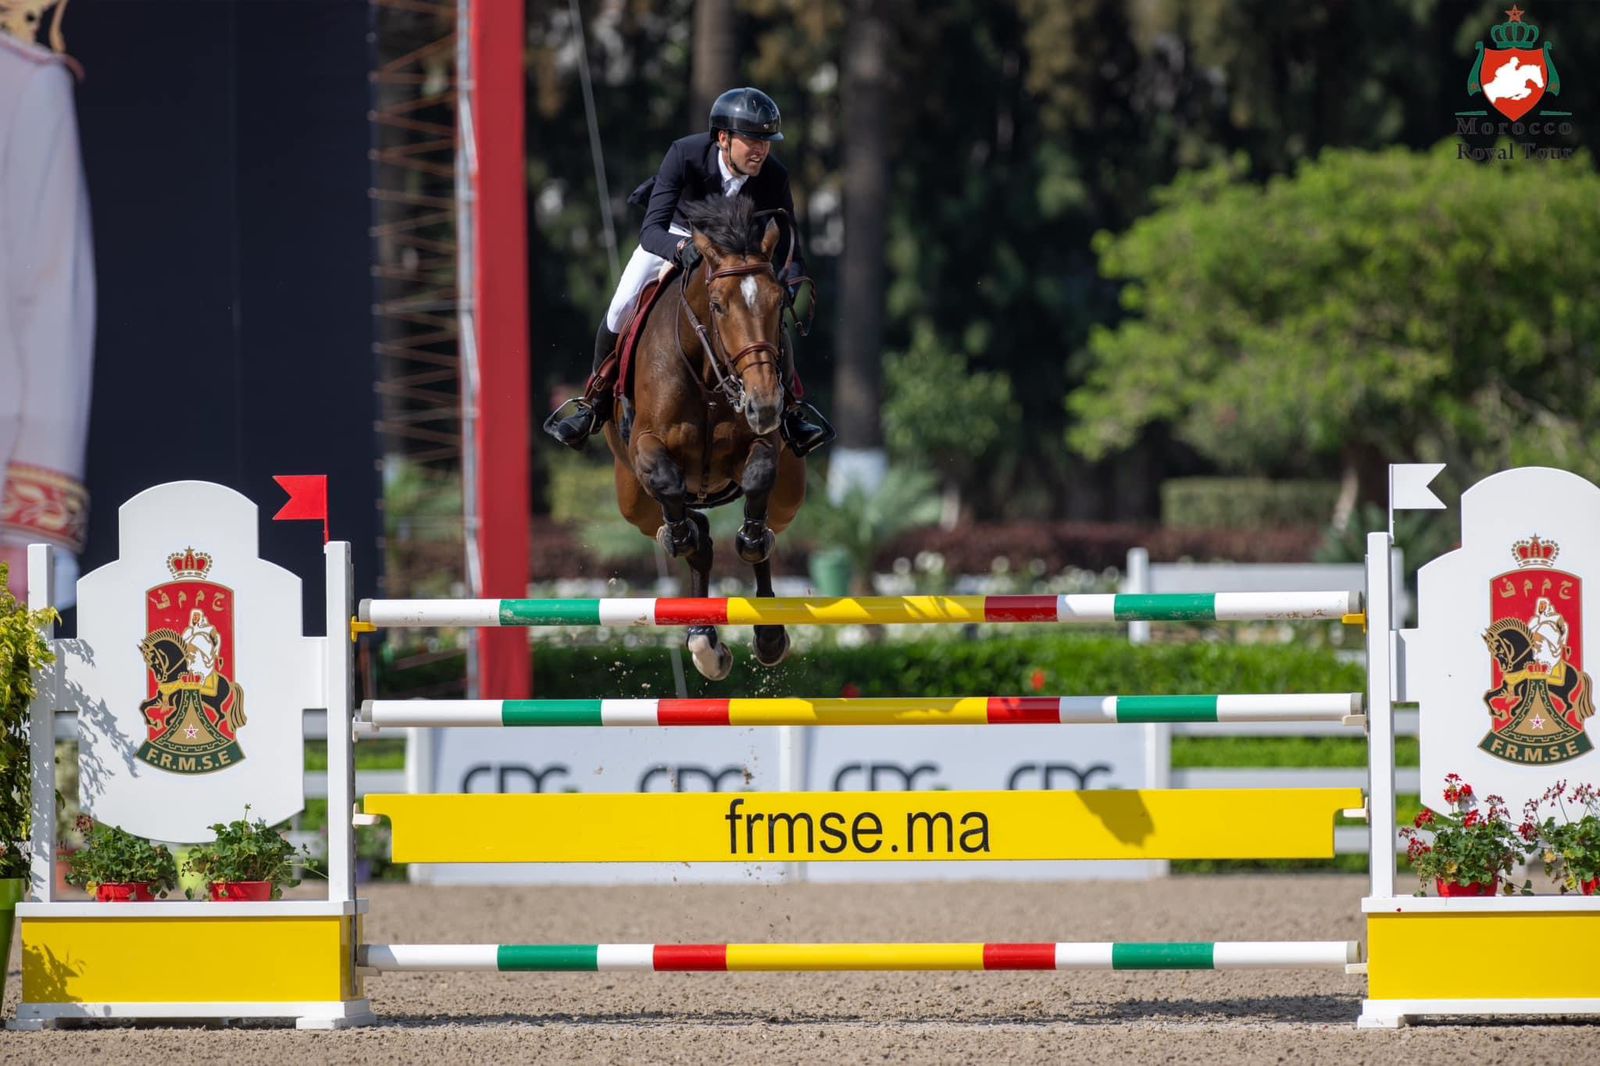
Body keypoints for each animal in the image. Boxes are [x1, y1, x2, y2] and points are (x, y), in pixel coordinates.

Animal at [602, 195, 807, 680]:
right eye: (717, 305)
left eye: (778, 301)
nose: (765, 403)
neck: (710, 379)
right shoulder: (645, 447)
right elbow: (671, 490)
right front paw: (682, 535)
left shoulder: (762, 447)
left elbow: (756, 495)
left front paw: (750, 542)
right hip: (633, 502)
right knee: (683, 526)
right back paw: (702, 637)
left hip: (790, 494)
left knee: (764, 520)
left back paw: (758, 637)